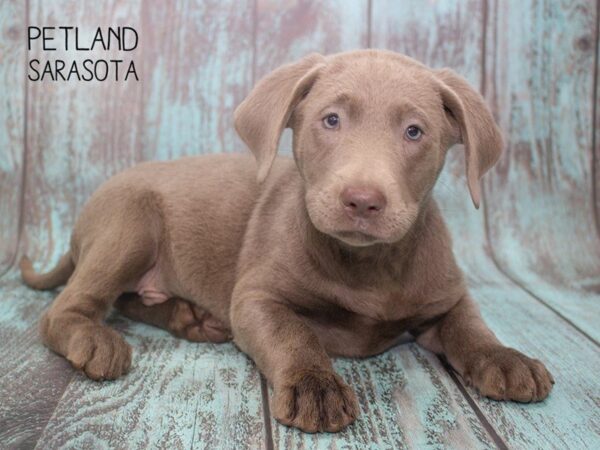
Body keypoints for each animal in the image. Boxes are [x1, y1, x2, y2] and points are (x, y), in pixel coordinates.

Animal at [19, 49, 552, 432]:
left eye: (414, 132)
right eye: (331, 120)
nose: (362, 200)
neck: (366, 265)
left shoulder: (447, 295)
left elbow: (471, 326)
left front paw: (505, 358)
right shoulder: (256, 298)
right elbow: (293, 333)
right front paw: (315, 385)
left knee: (130, 299)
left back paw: (189, 318)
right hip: (129, 224)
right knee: (66, 308)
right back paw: (96, 338)